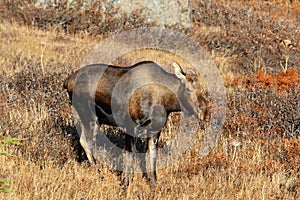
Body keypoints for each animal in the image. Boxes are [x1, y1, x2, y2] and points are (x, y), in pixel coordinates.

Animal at [63, 61, 209, 188]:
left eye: (203, 89)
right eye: (188, 89)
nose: (205, 113)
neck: (165, 102)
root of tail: (67, 81)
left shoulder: (155, 130)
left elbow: (152, 156)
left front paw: (154, 183)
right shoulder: (130, 127)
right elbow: (130, 156)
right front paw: (125, 184)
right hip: (90, 117)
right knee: (85, 141)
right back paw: (99, 174)